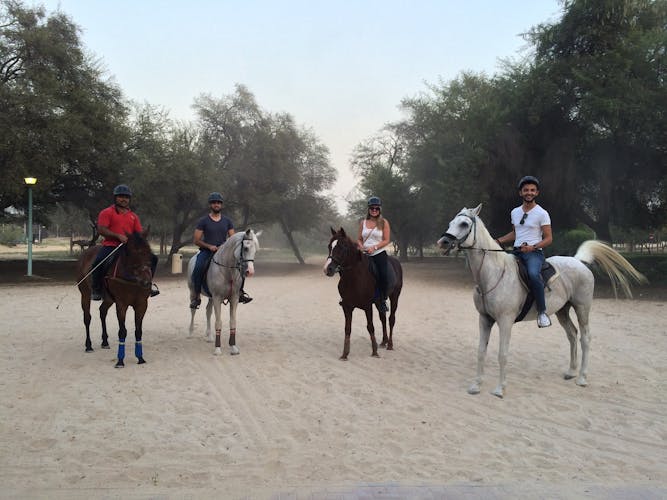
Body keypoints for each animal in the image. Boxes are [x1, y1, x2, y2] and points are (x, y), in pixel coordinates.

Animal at [76, 231, 155, 368]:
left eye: (148, 252)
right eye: (131, 254)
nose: (146, 281)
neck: (132, 279)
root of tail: (85, 253)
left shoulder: (142, 305)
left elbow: (138, 331)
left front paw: (140, 357)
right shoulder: (121, 304)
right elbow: (122, 331)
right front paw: (120, 360)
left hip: (109, 299)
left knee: (102, 311)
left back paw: (105, 341)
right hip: (85, 294)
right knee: (87, 318)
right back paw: (89, 345)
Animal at [324, 227, 402, 360]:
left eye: (342, 247)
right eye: (330, 246)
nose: (327, 269)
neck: (354, 277)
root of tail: (396, 262)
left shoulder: (367, 306)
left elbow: (370, 327)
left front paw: (374, 352)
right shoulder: (347, 306)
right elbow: (347, 328)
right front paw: (344, 354)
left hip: (394, 297)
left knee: (391, 319)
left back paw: (390, 344)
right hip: (379, 302)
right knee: (383, 318)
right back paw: (383, 341)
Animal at [438, 204, 648, 398]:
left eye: (464, 224)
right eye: (451, 223)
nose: (443, 242)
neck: (494, 273)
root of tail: (578, 261)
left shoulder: (505, 321)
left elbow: (502, 354)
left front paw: (500, 389)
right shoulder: (484, 319)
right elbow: (481, 352)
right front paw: (476, 385)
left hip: (582, 308)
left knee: (585, 338)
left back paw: (582, 378)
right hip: (563, 310)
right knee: (572, 334)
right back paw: (571, 372)